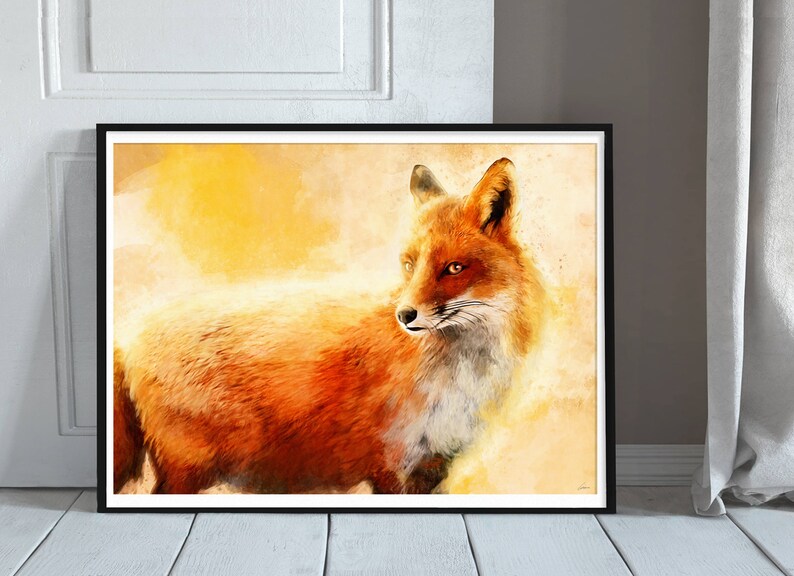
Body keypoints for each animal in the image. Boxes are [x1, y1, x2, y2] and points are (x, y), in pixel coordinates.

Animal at [113, 157, 545, 495]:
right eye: (409, 265)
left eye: (454, 268)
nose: (404, 315)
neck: (458, 376)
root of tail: (127, 337)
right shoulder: (390, 463)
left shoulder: (435, 465)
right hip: (188, 472)